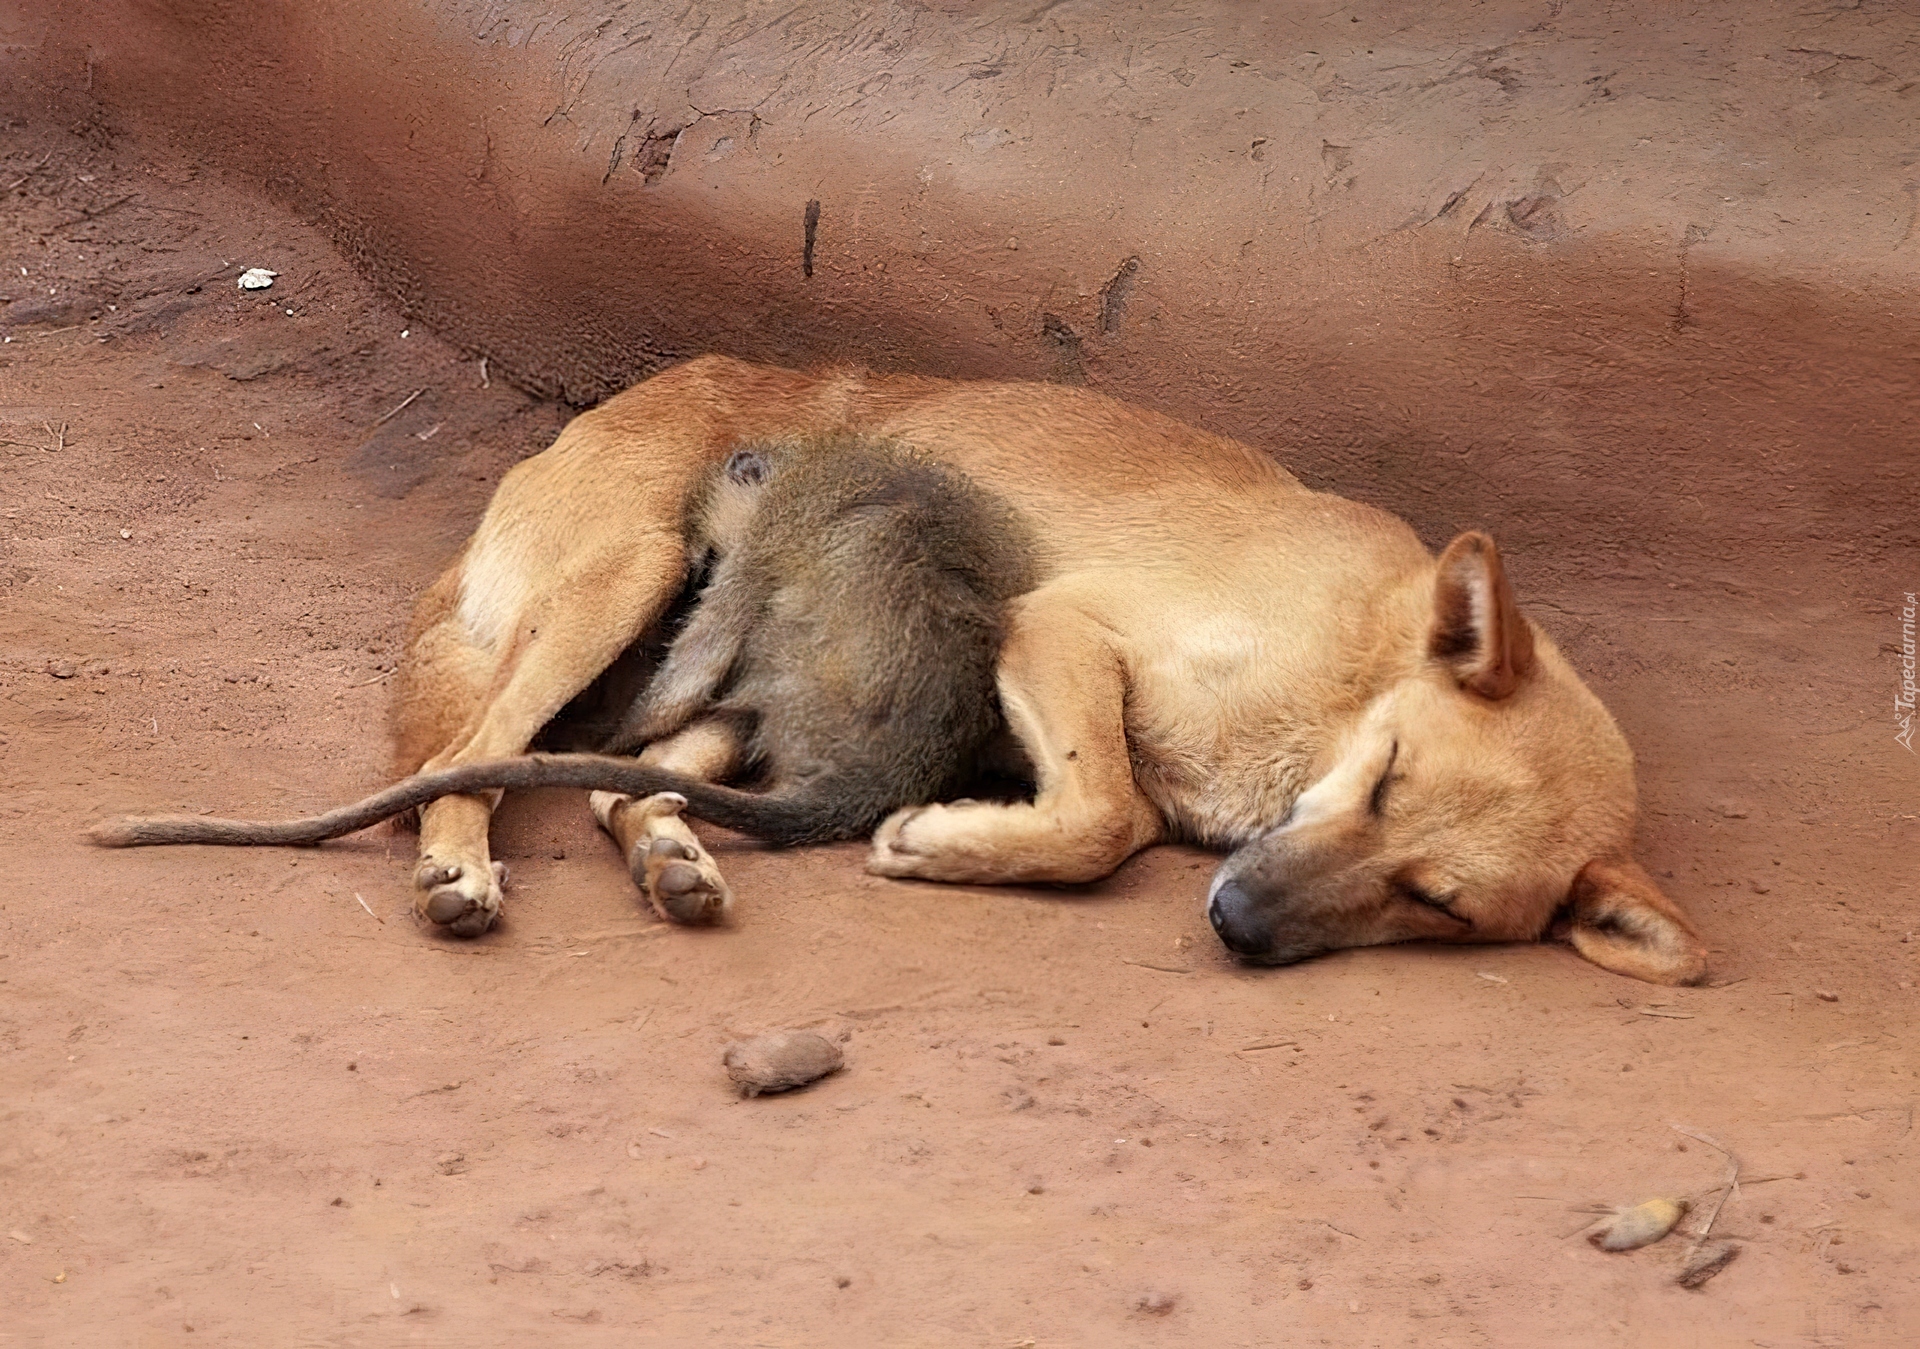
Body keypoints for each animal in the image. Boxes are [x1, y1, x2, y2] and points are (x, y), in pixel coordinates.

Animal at [88, 433, 1044, 871]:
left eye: (712, 558)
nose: (701, 568)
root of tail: (885, 771)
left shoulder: (764, 546)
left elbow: (703, 655)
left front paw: (608, 734)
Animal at [280, 358, 1697, 982]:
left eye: (1439, 904)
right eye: (1388, 773)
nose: (1238, 922)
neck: (1346, 675)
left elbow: (1112, 813)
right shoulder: (1062, 626)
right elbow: (1108, 813)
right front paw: (945, 840)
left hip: (758, 671)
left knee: (623, 778)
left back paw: (669, 853)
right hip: (622, 584)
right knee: (469, 757)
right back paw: (458, 866)